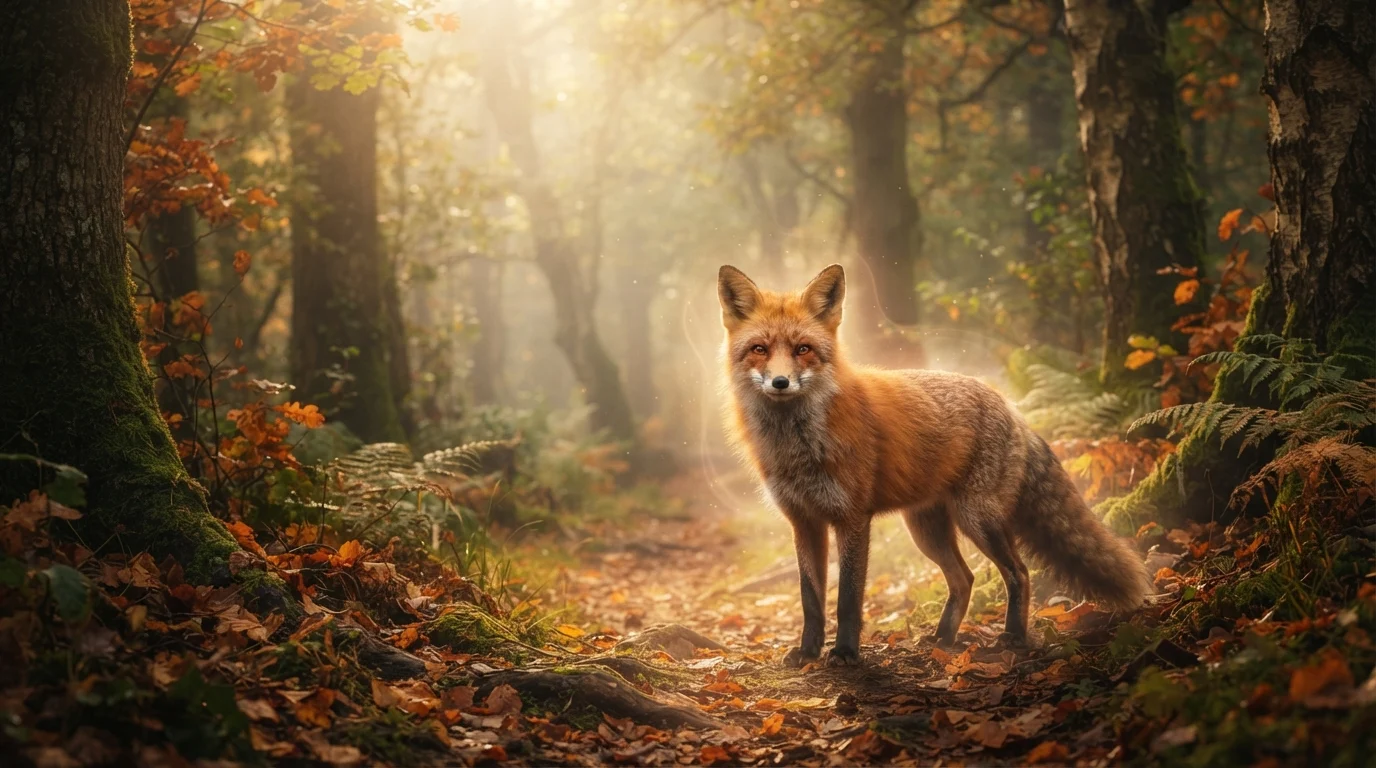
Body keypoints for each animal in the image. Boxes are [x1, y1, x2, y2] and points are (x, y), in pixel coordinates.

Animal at [718, 263, 1151, 667]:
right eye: (760, 349)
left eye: (803, 349)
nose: (780, 382)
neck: (798, 446)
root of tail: (1010, 406)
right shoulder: (804, 522)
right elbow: (810, 599)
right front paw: (808, 652)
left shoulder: (852, 519)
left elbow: (848, 600)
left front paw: (845, 653)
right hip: (926, 530)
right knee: (964, 578)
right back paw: (943, 638)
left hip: (977, 519)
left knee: (1019, 572)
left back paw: (1011, 636)